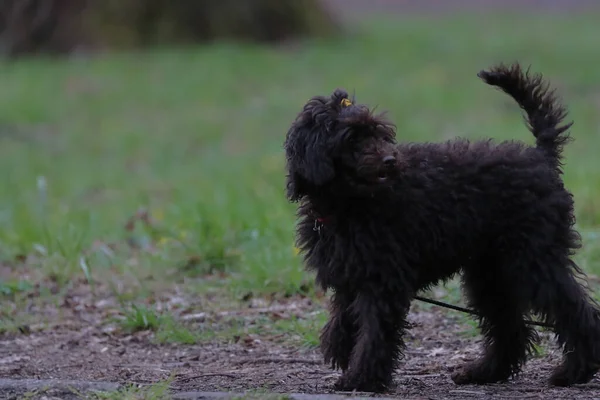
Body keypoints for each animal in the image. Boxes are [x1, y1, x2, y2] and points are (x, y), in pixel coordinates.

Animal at [284, 64, 600, 392]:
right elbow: (345, 319)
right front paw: (341, 350)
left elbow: (374, 332)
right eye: (351, 138)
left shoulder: (383, 281)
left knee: (578, 313)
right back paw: (485, 372)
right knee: (510, 327)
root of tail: (541, 157)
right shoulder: (351, 275)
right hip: (491, 272)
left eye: (379, 133)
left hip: (535, 260)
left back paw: (574, 371)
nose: (390, 160)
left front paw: (362, 377)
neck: (350, 205)